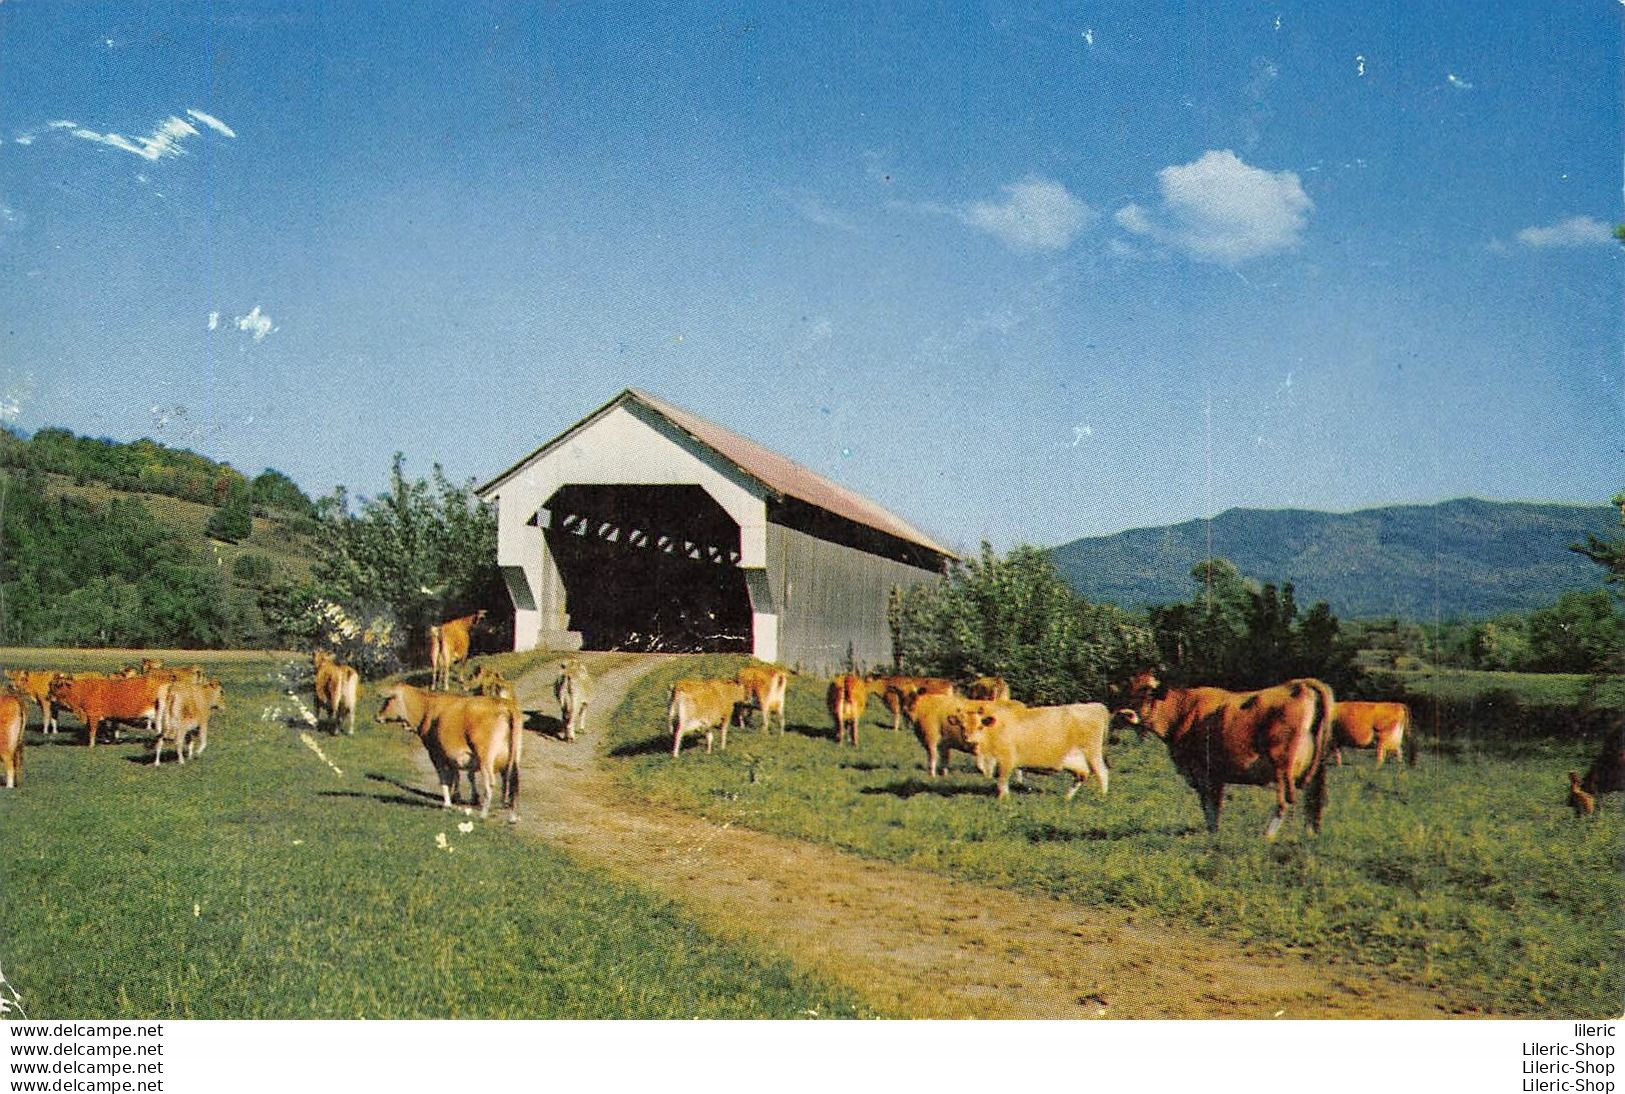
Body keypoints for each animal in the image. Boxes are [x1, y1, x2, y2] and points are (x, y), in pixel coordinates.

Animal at [373, 682, 520, 819]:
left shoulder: (436, 754)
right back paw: (511, 815)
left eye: (388, 700)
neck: (427, 707)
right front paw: (457, 797)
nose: (377, 716)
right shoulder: (451, 755)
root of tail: (504, 705)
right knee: (512, 781)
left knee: (490, 783)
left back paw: (483, 814)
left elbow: (444, 778)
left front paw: (447, 804)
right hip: (513, 758)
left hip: (485, 758)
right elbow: (457, 775)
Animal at [955, 705, 1111, 796]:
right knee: (1081, 775)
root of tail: (1096, 706)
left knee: (1101, 772)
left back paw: (1102, 796)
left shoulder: (1007, 759)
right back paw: (1067, 798)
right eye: (962, 726)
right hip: (1074, 759)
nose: (968, 738)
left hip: (1092, 753)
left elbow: (1002, 780)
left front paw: (1003, 798)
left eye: (980, 727)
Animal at [1124, 666, 1339, 838]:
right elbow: (1213, 805)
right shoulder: (1215, 774)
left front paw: (1212, 834)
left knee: (1285, 801)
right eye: (1130, 689)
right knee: (1313, 798)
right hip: (1315, 766)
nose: (1127, 714)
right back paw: (1310, 834)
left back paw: (1267, 836)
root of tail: (1300, 684)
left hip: (1282, 763)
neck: (1183, 710)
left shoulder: (1202, 770)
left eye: (1149, 693)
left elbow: (1209, 804)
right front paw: (1214, 833)